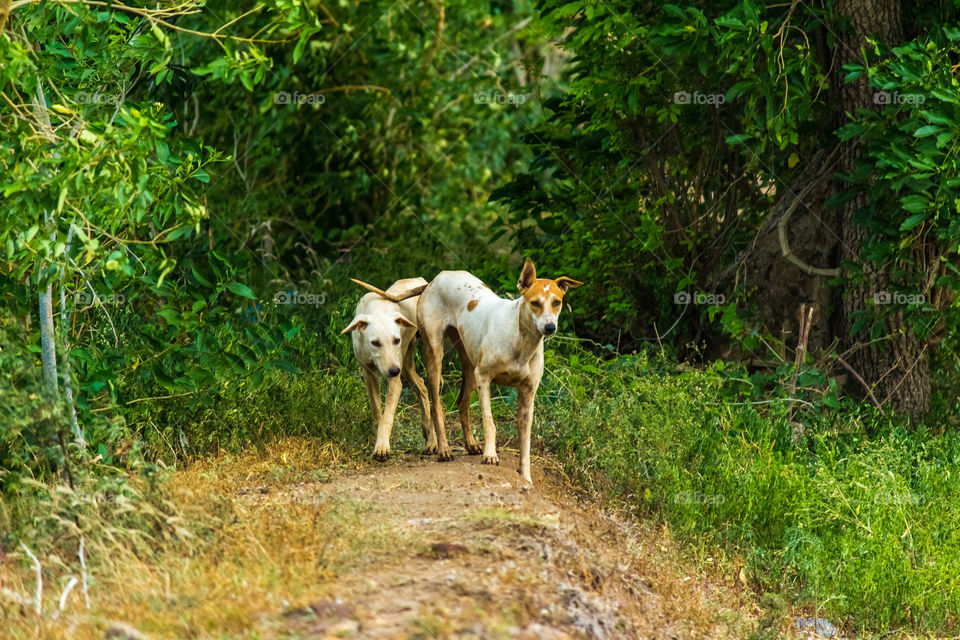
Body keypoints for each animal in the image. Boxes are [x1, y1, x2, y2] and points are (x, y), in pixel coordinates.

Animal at [344, 278, 434, 458]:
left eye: (396, 340)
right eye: (375, 342)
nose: (394, 371)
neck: (377, 311)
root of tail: (420, 280)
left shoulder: (395, 382)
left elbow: (386, 417)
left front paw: (382, 448)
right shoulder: (369, 374)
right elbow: (377, 413)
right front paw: (377, 441)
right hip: (406, 366)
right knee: (421, 386)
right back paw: (426, 429)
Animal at [416, 258, 580, 482]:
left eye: (556, 302)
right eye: (535, 303)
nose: (550, 327)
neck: (520, 340)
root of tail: (437, 278)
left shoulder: (528, 393)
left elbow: (525, 440)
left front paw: (526, 476)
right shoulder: (484, 379)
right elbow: (489, 422)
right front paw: (490, 455)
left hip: (469, 366)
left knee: (462, 404)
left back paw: (470, 444)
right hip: (436, 356)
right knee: (436, 406)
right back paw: (443, 449)